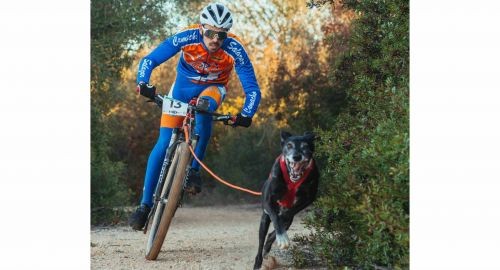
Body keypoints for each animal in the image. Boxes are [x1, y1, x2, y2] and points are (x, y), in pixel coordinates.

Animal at [254, 130, 320, 268]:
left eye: (305, 146)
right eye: (289, 145)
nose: (296, 156)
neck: (292, 180)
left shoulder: (309, 198)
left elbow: (287, 214)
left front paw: (281, 233)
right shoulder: (268, 201)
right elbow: (275, 216)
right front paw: (282, 237)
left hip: (289, 221)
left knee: (276, 230)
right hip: (264, 220)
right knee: (262, 240)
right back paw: (258, 261)